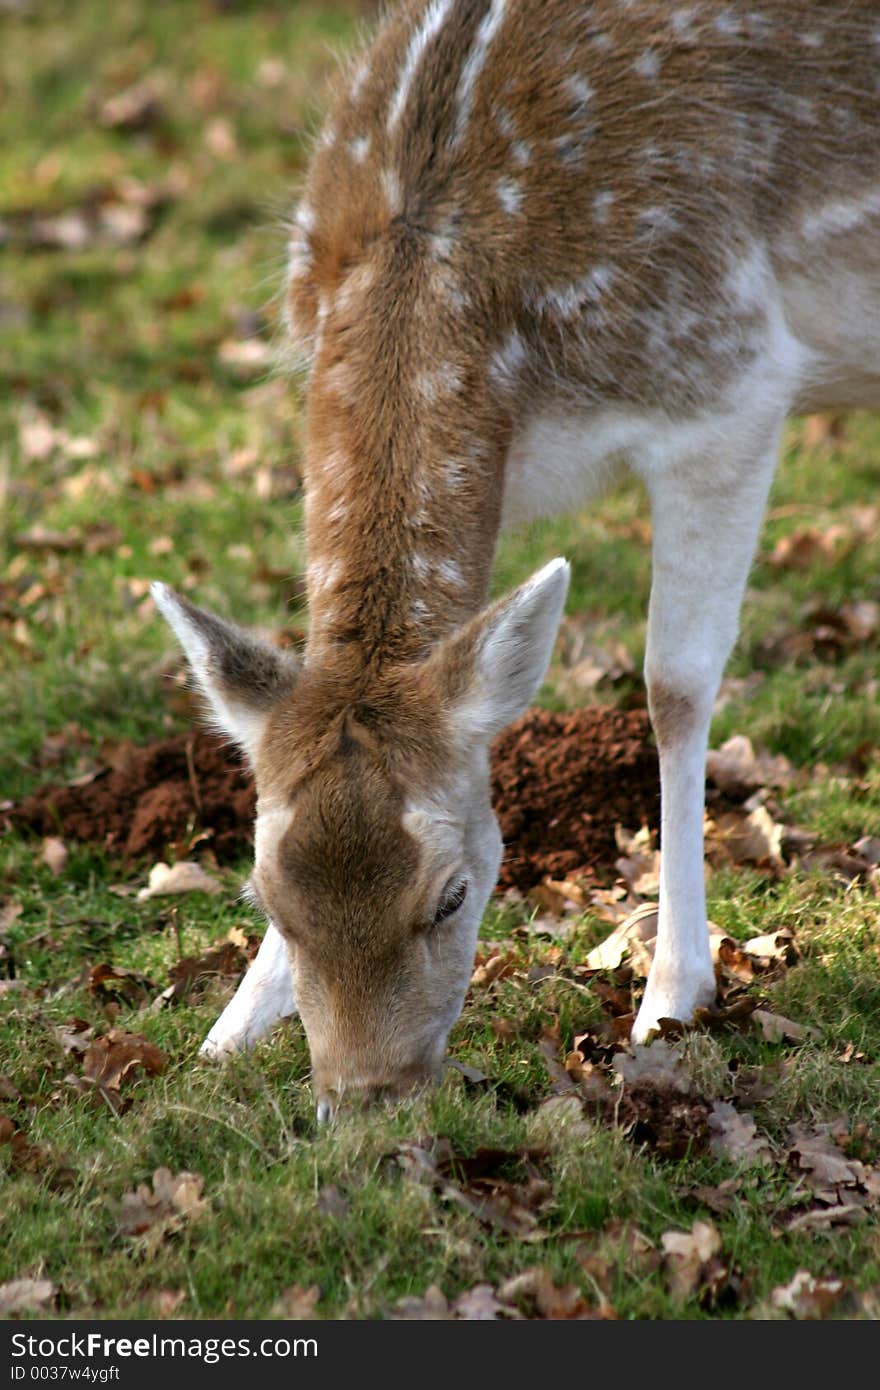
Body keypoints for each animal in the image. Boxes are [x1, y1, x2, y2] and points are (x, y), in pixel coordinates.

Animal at [150, 0, 878, 1117]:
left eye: (454, 895)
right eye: (265, 894)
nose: (368, 1097)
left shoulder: (729, 383)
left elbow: (674, 685)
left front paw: (671, 996)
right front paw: (229, 1028)